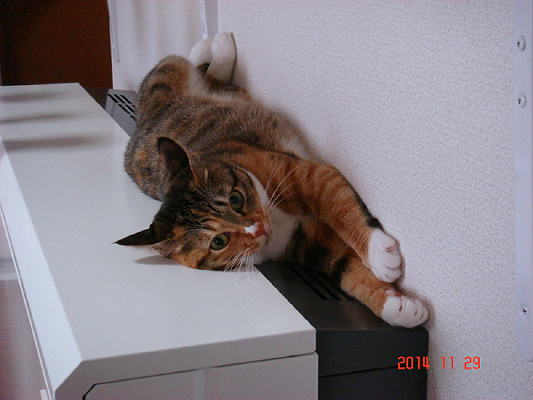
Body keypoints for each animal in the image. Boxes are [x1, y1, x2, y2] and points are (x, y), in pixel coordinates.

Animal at [117, 33, 428, 328]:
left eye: (235, 199)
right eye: (219, 241)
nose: (257, 229)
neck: (276, 218)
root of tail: (142, 123)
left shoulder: (307, 176)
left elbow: (341, 210)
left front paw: (379, 255)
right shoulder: (306, 244)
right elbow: (344, 269)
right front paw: (398, 306)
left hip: (165, 76)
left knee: (191, 65)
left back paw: (215, 45)